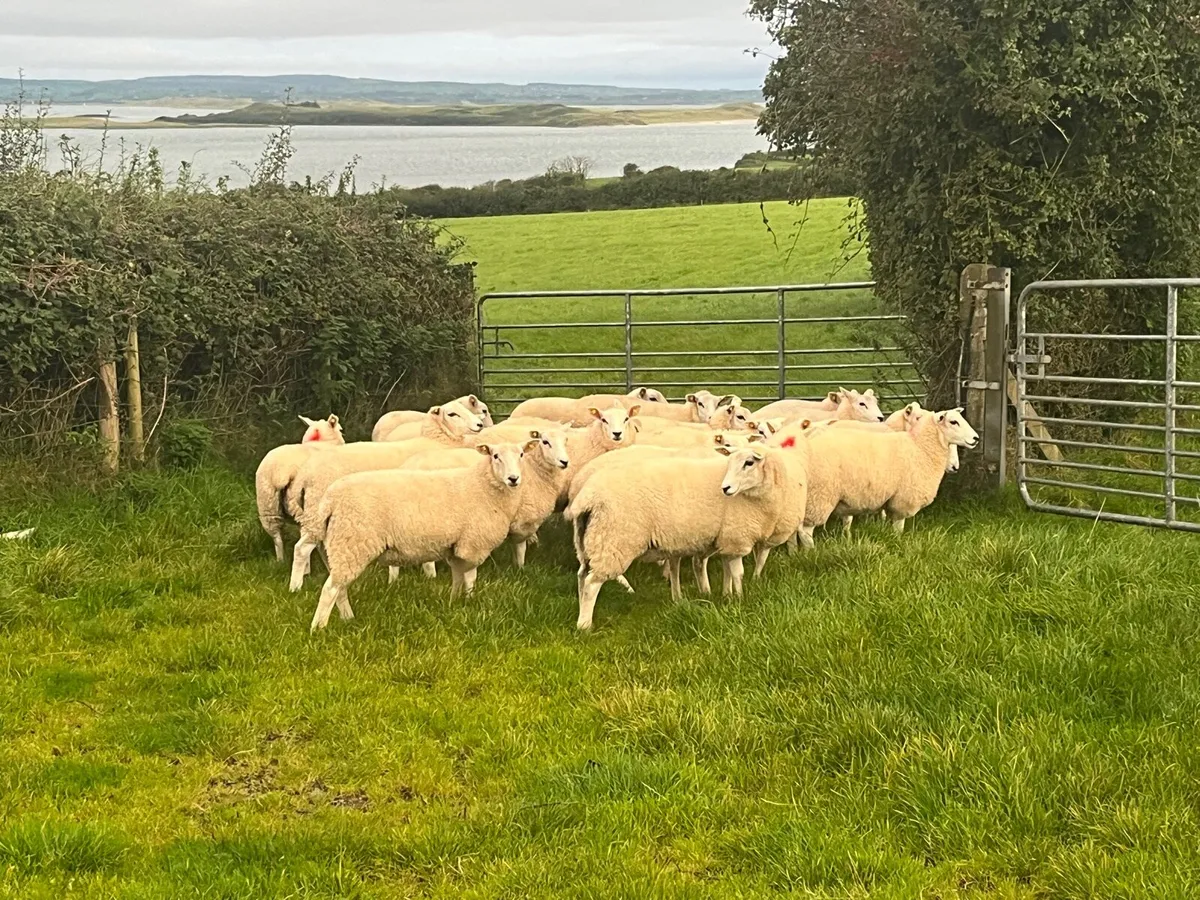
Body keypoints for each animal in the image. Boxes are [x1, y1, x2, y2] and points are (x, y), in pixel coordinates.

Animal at [287, 404, 482, 591]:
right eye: (452, 414)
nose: (479, 424)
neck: (437, 441)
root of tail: (305, 474)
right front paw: (431, 574)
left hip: (316, 514)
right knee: (302, 548)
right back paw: (295, 587)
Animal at [306, 441, 537, 632]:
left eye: (522, 454)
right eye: (496, 456)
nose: (513, 479)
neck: (482, 486)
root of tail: (330, 500)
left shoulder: (455, 547)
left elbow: (457, 577)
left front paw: (454, 602)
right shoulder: (473, 542)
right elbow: (470, 577)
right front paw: (470, 601)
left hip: (335, 548)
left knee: (339, 587)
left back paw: (348, 619)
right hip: (352, 543)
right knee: (330, 589)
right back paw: (318, 629)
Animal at [566, 444, 794, 630]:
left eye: (749, 462)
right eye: (731, 462)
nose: (725, 488)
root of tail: (588, 496)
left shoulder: (726, 540)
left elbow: (727, 571)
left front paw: (726, 595)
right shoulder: (737, 537)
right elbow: (738, 573)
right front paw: (739, 599)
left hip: (588, 541)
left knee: (581, 576)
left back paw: (580, 614)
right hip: (614, 540)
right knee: (592, 583)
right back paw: (585, 625)